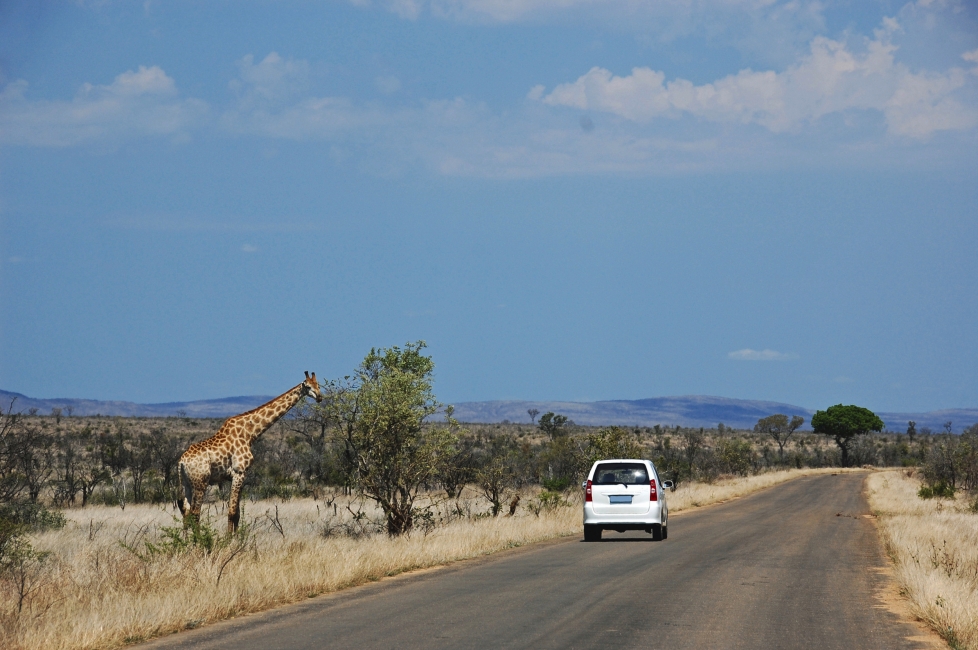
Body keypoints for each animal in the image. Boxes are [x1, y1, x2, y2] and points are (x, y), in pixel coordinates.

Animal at [177, 372, 323, 533]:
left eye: (319, 385)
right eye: (308, 386)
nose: (320, 397)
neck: (249, 434)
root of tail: (181, 462)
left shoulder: (241, 475)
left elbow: (237, 514)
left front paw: (237, 538)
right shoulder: (238, 472)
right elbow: (232, 512)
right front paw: (229, 540)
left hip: (187, 483)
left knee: (186, 513)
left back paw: (186, 540)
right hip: (201, 482)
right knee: (195, 514)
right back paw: (199, 540)